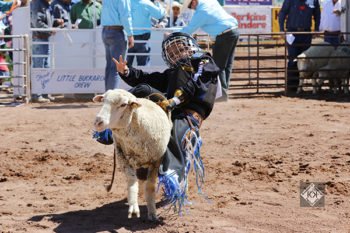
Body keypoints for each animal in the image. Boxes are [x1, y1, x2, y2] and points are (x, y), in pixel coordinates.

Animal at [93, 88, 172, 220]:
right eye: (103, 100)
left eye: (123, 104)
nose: (98, 122)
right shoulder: (123, 158)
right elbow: (132, 181)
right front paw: (134, 206)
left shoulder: (156, 160)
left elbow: (150, 186)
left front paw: (152, 213)